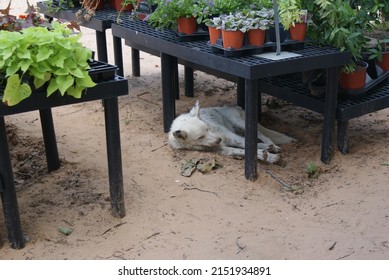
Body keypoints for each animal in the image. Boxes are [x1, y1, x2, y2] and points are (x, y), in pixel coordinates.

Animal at [166, 101, 294, 164]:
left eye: (207, 129)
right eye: (200, 137)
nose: (219, 140)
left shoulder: (231, 137)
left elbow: (248, 146)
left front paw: (271, 157)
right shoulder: (222, 149)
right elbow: (240, 151)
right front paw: (266, 155)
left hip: (241, 124)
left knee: (261, 135)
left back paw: (272, 145)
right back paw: (268, 147)